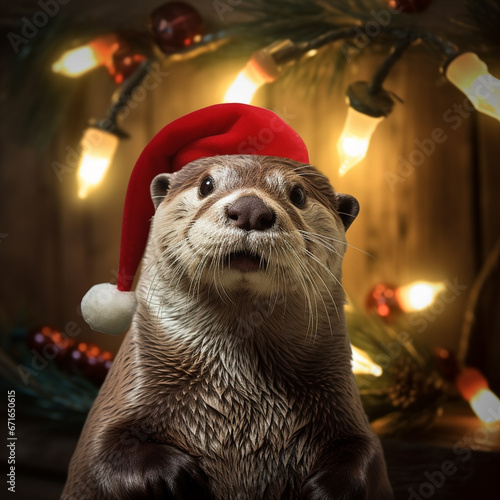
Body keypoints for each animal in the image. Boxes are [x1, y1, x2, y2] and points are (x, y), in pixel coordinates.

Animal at [61, 154, 390, 498]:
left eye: (298, 194)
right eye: (206, 184)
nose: (250, 209)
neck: (241, 397)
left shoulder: (342, 400)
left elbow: (369, 457)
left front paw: (325, 490)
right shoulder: (126, 388)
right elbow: (100, 451)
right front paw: (176, 476)